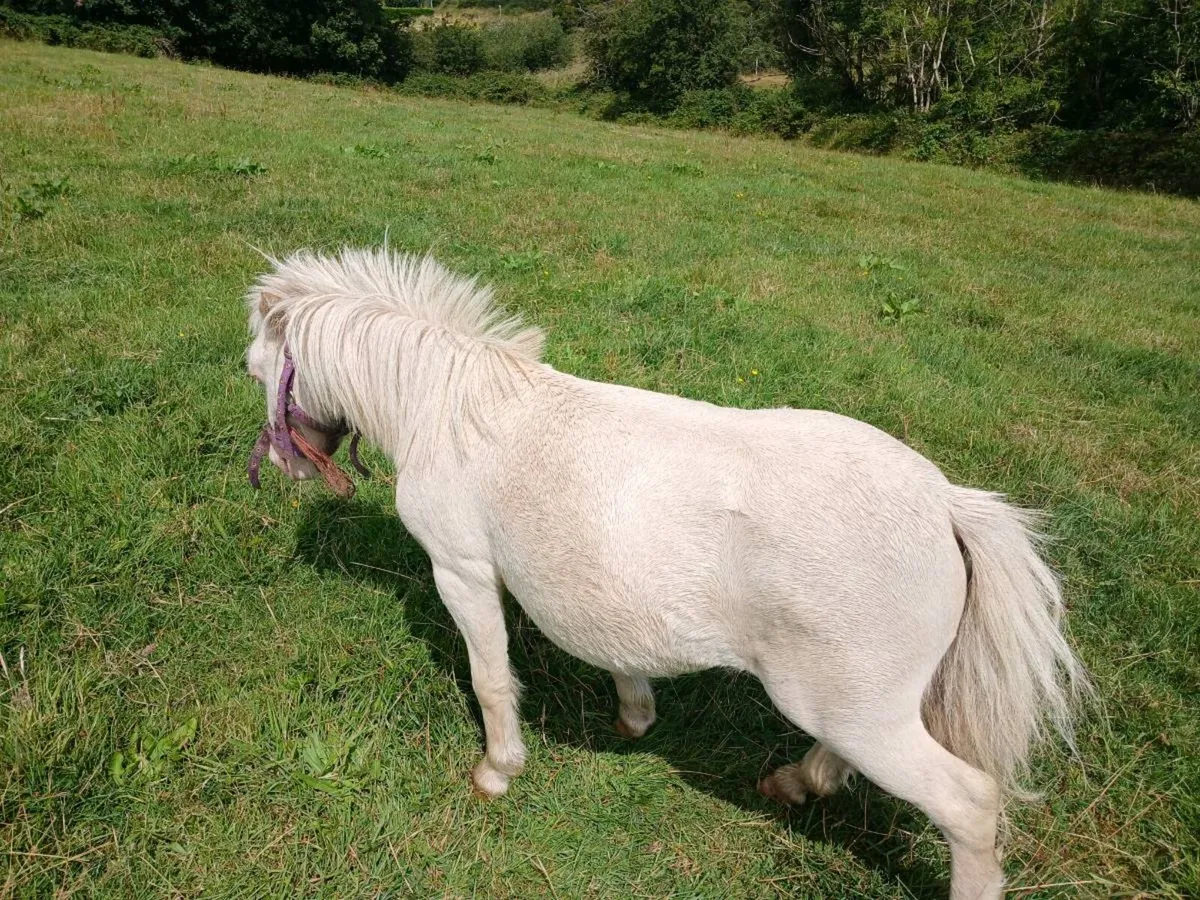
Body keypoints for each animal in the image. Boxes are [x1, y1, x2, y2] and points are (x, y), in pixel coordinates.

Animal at [243, 247, 1089, 899]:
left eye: (257, 371)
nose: (285, 465)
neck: (454, 412)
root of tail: (946, 503)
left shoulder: (462, 571)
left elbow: (489, 679)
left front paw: (497, 772)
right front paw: (634, 716)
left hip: (859, 714)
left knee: (970, 807)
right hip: (857, 706)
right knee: (841, 763)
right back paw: (791, 784)